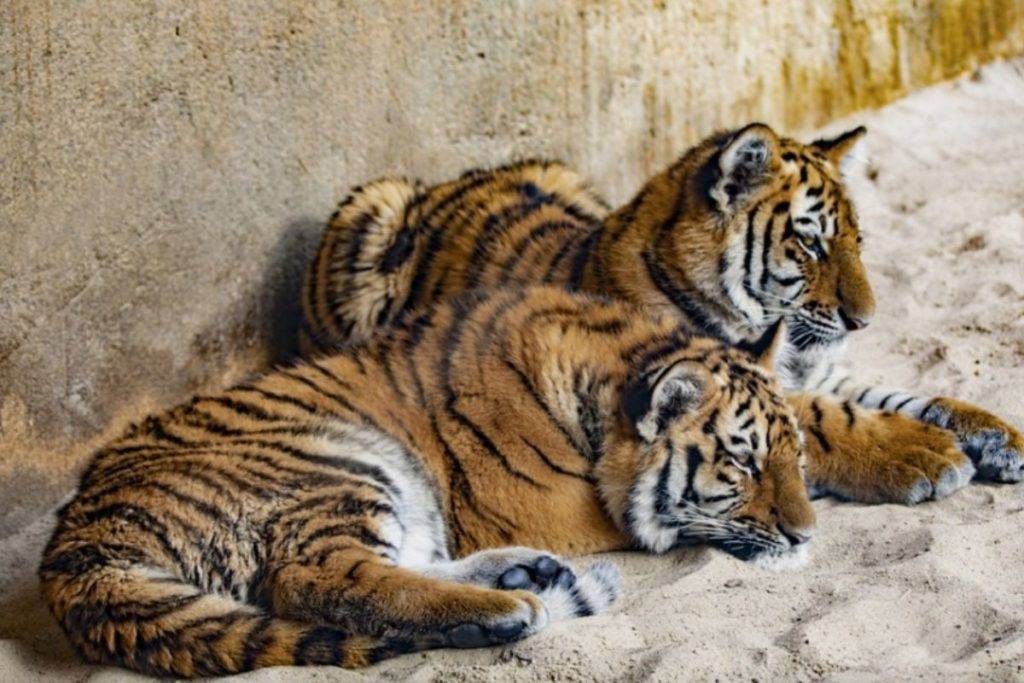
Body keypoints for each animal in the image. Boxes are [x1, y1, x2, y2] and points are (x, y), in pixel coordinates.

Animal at [40, 286, 813, 678]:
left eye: (793, 456)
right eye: (742, 463)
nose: (808, 536)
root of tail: (73, 550)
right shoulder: (557, 508)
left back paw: (525, 576)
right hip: (336, 464)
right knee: (321, 577)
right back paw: (511, 606)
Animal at [300, 122, 1023, 504]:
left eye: (856, 242)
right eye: (811, 242)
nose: (864, 321)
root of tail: (441, 184)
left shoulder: (810, 370)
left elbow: (901, 395)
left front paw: (997, 435)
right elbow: (824, 420)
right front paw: (926, 456)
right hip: (369, 209)